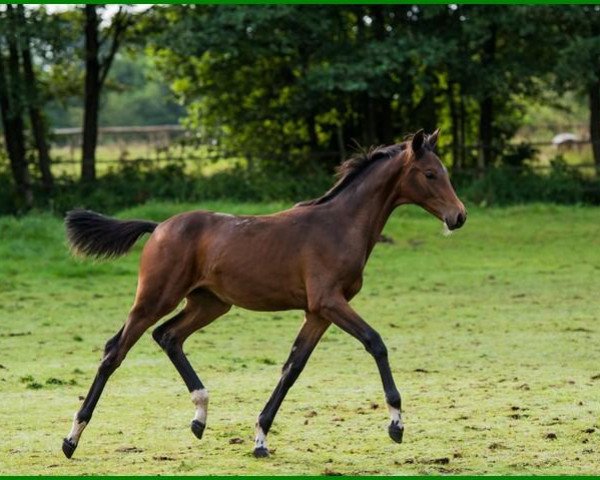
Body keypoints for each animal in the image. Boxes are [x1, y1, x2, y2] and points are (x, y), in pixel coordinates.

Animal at [62, 129, 468, 460]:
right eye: (430, 174)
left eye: (445, 172)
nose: (459, 216)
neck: (339, 225)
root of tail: (159, 225)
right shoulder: (329, 302)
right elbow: (375, 342)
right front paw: (396, 424)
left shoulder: (317, 312)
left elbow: (293, 367)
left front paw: (260, 438)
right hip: (155, 298)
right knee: (115, 351)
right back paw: (71, 439)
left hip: (210, 303)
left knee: (168, 336)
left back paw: (199, 417)